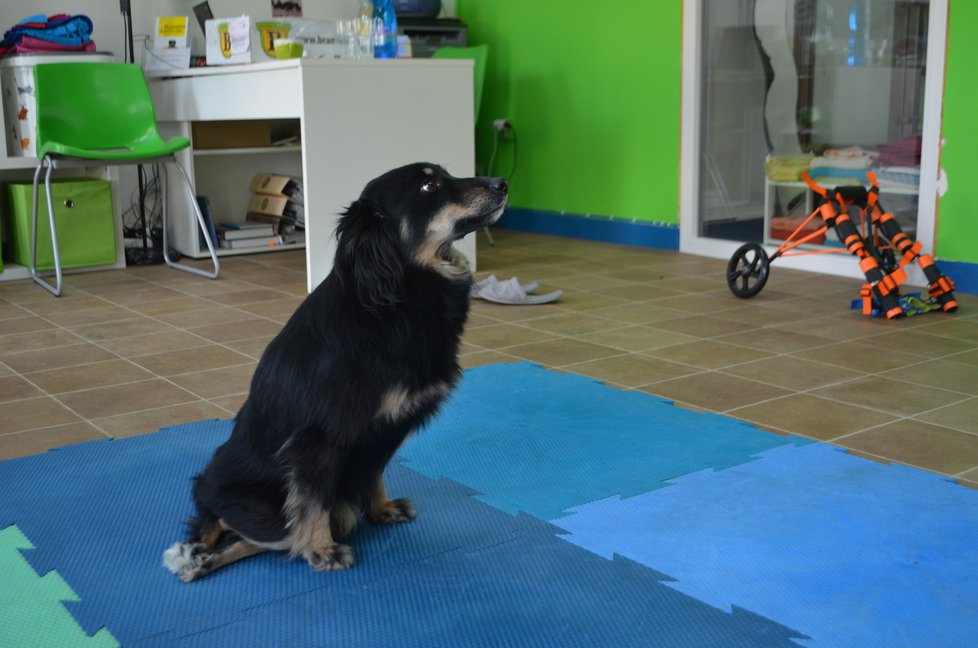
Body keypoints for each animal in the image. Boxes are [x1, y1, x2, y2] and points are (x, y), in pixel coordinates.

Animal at [161, 163, 508, 584]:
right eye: (429, 185)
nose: (502, 184)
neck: (397, 297)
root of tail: (206, 488)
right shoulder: (320, 436)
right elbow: (313, 499)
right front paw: (321, 549)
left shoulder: (382, 430)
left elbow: (371, 472)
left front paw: (380, 509)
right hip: (262, 504)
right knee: (242, 528)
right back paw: (197, 556)